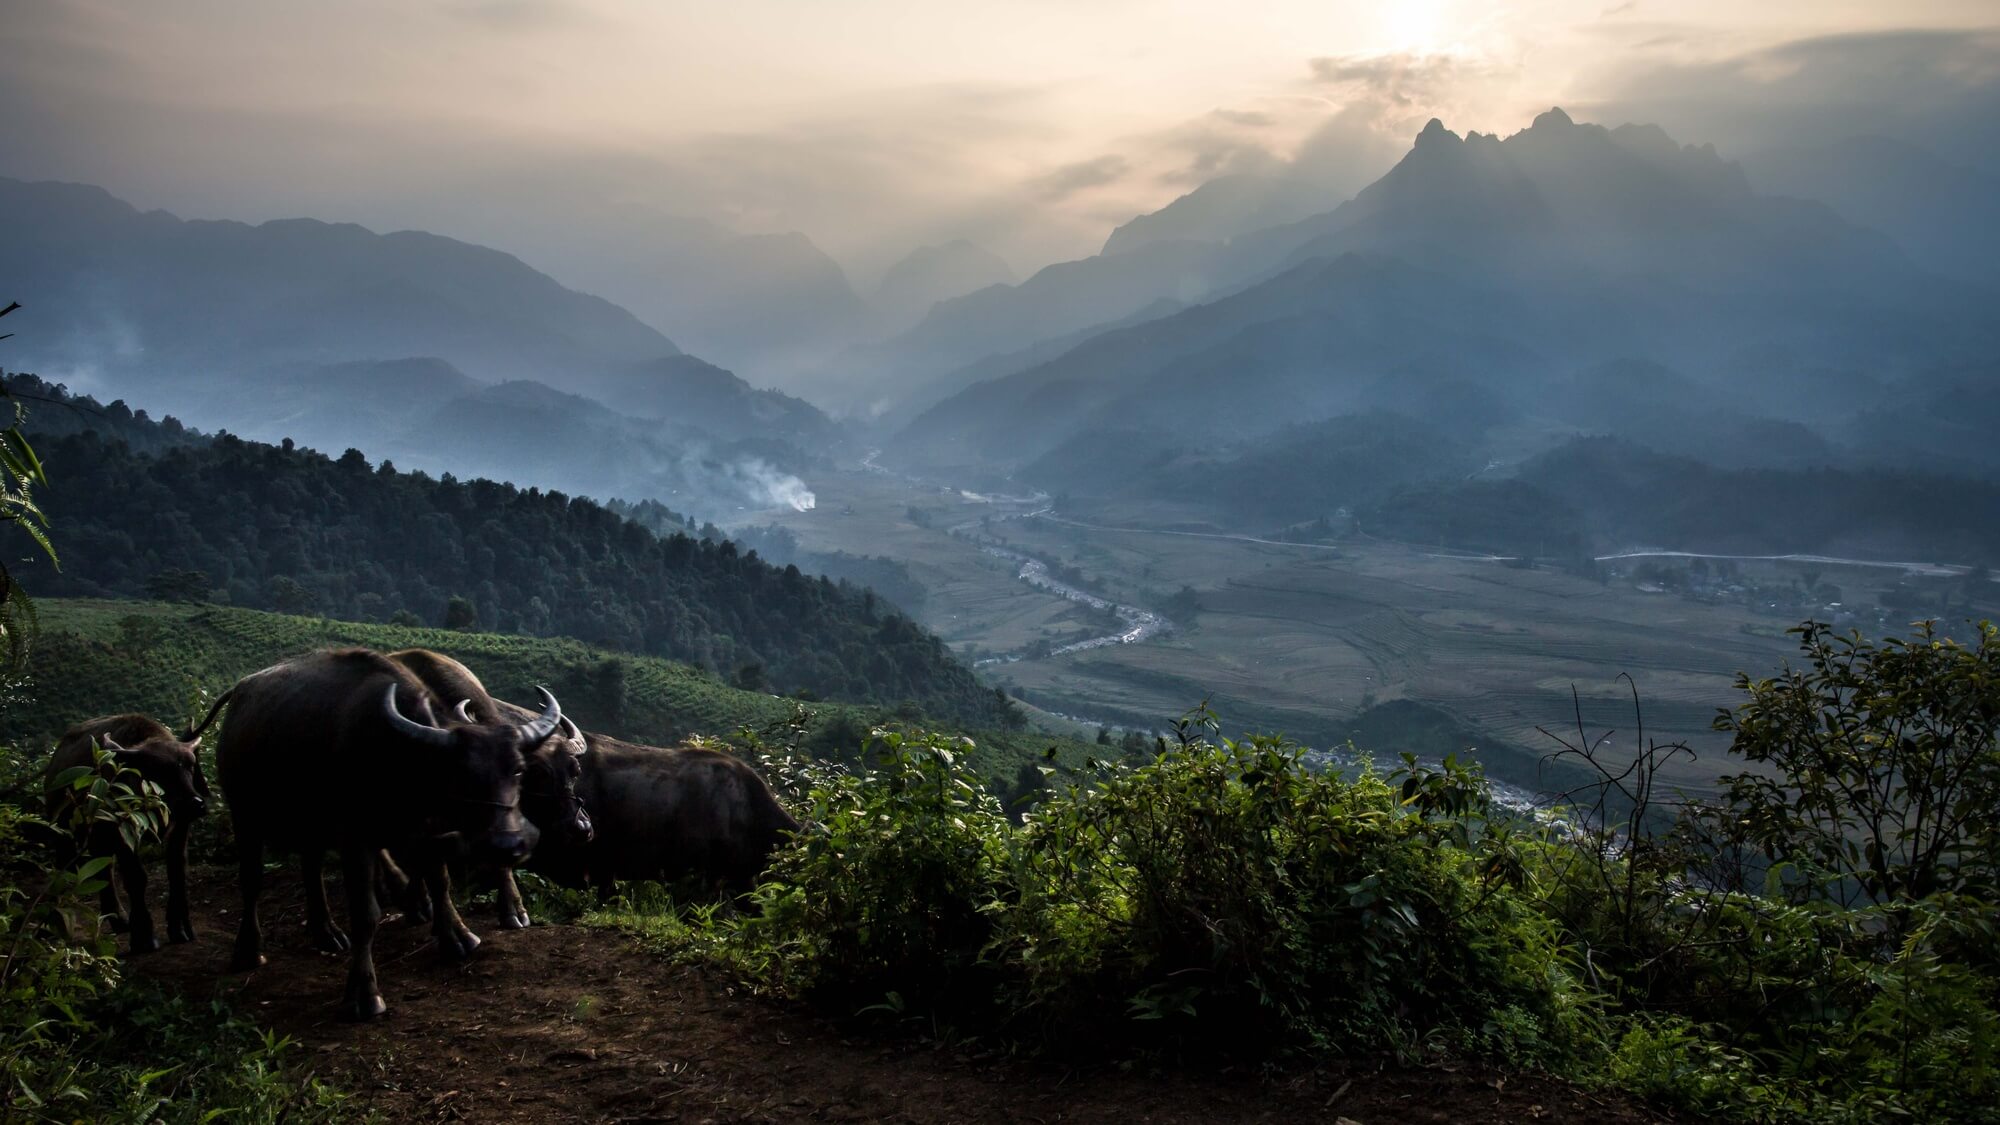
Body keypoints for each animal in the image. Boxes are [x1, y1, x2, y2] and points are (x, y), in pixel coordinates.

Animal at [46, 712, 211, 948]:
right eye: (158, 770)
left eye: (190, 766)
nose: (194, 804)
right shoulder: (123, 832)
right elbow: (136, 878)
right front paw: (143, 934)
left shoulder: (181, 828)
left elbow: (177, 872)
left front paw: (179, 929)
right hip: (62, 831)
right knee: (64, 866)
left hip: (97, 838)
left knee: (104, 869)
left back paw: (119, 919)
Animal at [218, 644, 560, 1020]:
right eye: (461, 774)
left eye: (518, 770)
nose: (509, 843)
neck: (402, 758)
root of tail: (240, 695)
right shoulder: (355, 840)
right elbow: (366, 914)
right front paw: (364, 994)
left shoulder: (428, 829)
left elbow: (440, 880)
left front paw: (457, 936)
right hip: (244, 815)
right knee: (252, 880)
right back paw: (249, 950)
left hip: (311, 825)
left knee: (311, 869)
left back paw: (327, 931)